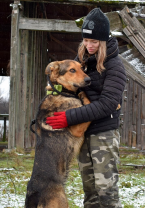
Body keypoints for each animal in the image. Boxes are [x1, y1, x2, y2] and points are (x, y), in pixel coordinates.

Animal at [24, 60, 91, 208]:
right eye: (72, 70)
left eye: (82, 68)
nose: (89, 80)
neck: (61, 91)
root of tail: (35, 195)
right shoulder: (78, 128)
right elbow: (89, 103)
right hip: (62, 202)